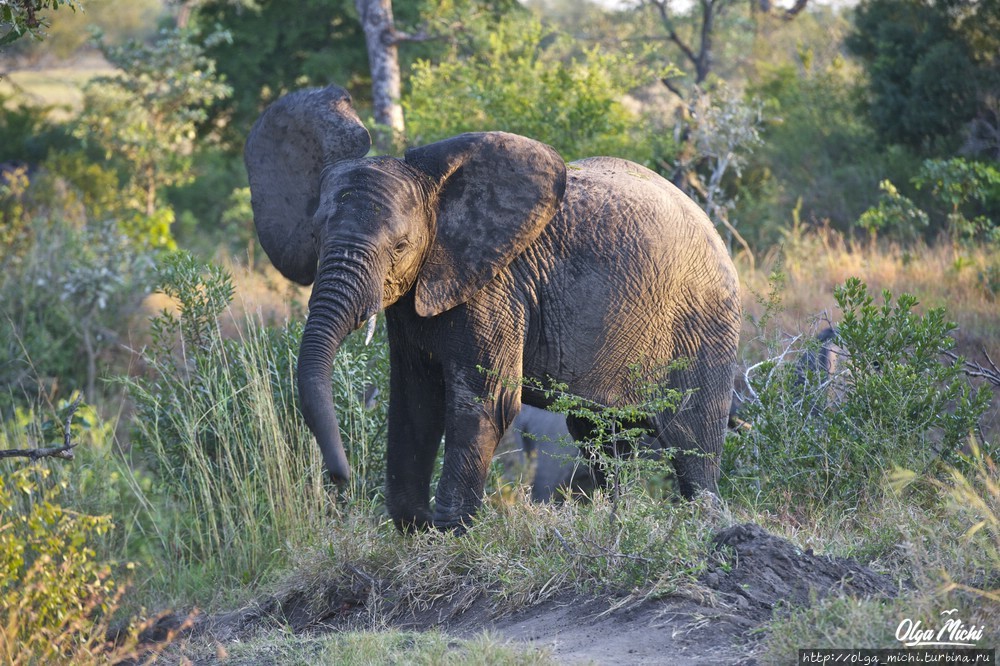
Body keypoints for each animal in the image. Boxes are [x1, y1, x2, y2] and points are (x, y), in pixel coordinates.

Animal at [244, 84, 744, 528]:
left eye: (401, 246)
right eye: (316, 235)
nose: (340, 477)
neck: (444, 199)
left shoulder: (497, 286)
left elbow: (486, 399)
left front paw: (451, 532)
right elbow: (414, 397)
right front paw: (415, 525)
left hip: (705, 320)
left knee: (692, 438)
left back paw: (703, 520)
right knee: (598, 434)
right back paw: (619, 518)